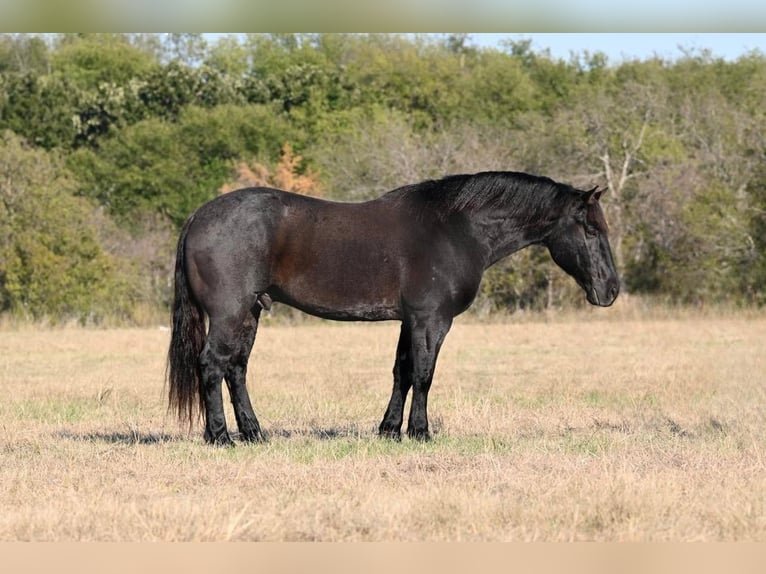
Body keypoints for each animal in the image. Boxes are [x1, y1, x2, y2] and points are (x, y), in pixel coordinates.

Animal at [165, 169, 620, 448]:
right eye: (590, 228)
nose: (611, 290)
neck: (455, 229)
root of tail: (198, 216)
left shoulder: (409, 320)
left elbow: (402, 371)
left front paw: (388, 430)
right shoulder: (432, 320)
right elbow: (424, 374)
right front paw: (420, 432)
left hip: (251, 312)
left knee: (236, 369)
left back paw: (254, 433)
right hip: (230, 313)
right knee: (212, 365)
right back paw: (220, 437)